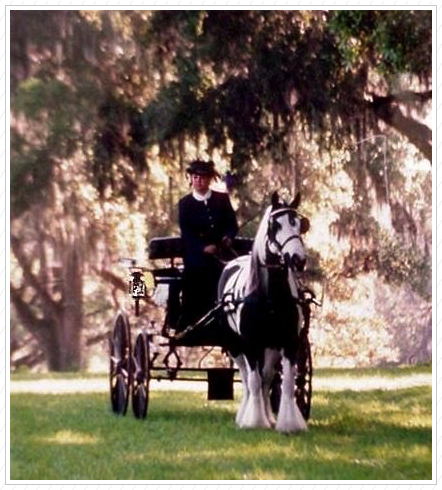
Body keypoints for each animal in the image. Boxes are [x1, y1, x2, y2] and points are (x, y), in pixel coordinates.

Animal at [218, 191, 310, 432]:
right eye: (275, 225)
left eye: (299, 224)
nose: (298, 259)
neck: (271, 298)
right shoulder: (250, 343)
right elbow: (253, 380)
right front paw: (255, 421)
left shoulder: (289, 341)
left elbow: (286, 382)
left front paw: (289, 424)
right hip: (235, 344)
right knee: (247, 377)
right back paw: (245, 415)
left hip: (271, 345)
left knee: (267, 377)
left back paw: (269, 416)